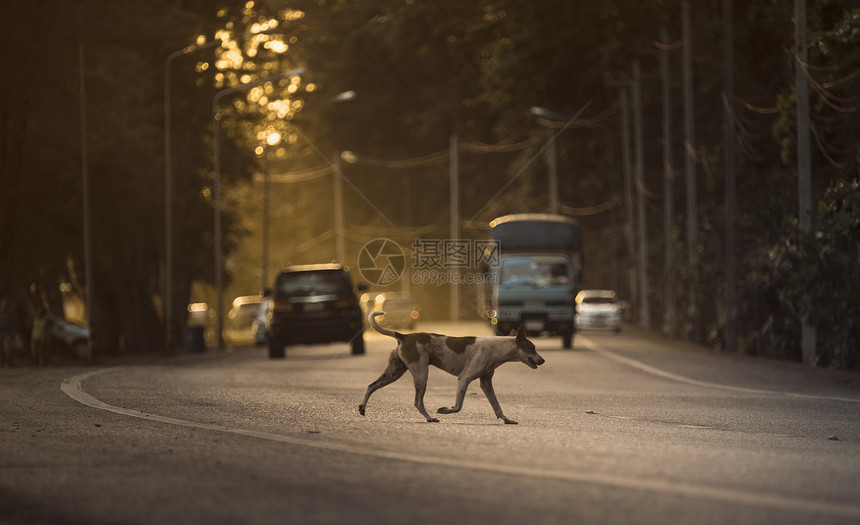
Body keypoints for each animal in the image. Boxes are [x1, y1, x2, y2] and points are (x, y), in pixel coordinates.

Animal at [358, 312, 544, 422]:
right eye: (532, 348)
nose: (542, 360)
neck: (498, 348)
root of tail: (403, 336)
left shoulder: (486, 384)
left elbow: (497, 406)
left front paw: (506, 419)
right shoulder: (464, 379)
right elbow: (458, 406)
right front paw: (446, 410)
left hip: (394, 372)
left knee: (371, 386)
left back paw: (362, 407)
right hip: (421, 374)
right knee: (418, 401)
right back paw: (429, 417)